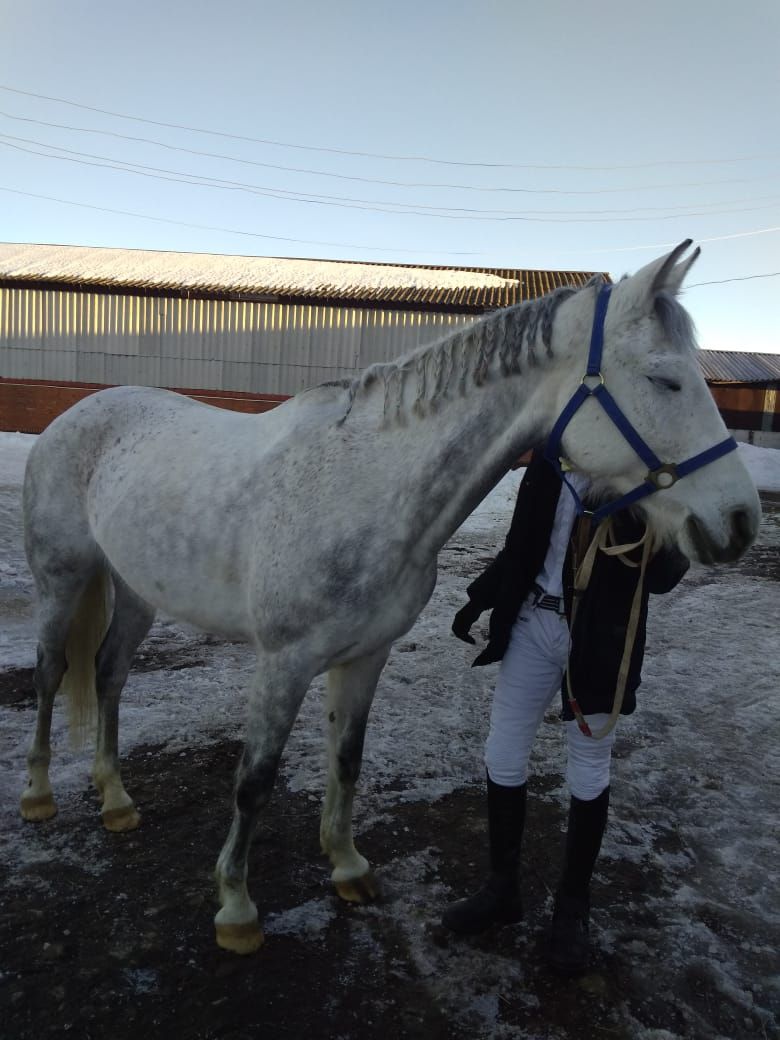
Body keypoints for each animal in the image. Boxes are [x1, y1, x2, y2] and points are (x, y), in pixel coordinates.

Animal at [19, 241, 765, 952]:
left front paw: (347, 866)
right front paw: (236, 908)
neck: (366, 486)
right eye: (665, 379)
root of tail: (79, 413)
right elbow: (255, 780)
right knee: (53, 673)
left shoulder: (367, 655)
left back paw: (116, 799)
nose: (739, 522)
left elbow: (347, 760)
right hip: (62, 581)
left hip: (136, 590)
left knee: (108, 673)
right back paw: (38, 796)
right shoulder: (282, 663)